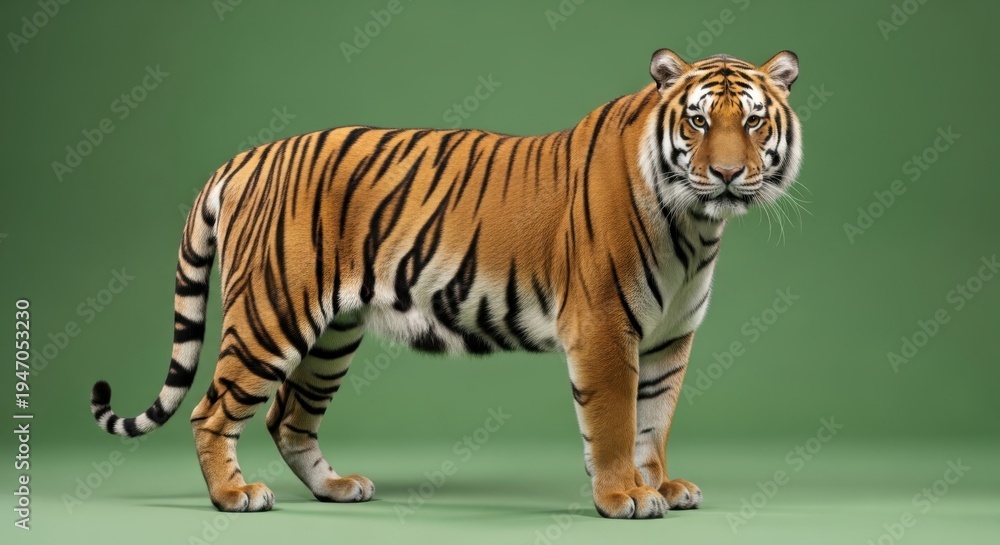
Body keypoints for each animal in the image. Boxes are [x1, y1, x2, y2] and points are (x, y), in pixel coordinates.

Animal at [90, 48, 802, 519]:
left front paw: (662, 487)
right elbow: (615, 421)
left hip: (331, 337)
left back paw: (335, 489)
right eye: (700, 122)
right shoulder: (604, 328)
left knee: (286, 415)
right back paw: (233, 496)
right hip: (272, 314)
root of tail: (246, 157)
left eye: (754, 122)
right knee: (213, 410)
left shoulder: (668, 338)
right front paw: (623, 495)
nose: (729, 174)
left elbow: (654, 421)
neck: (697, 224)